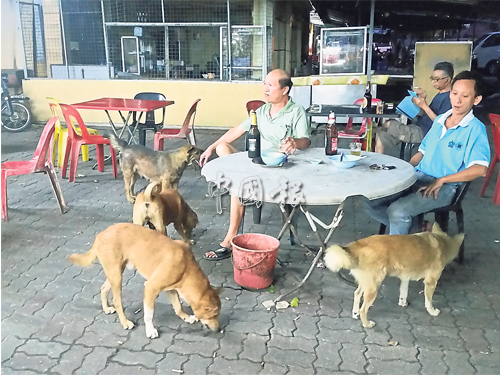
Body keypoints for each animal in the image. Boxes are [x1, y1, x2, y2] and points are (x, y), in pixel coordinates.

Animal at [69, 225, 223, 340]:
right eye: (214, 315)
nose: (218, 329)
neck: (186, 266)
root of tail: (100, 234)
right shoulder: (151, 288)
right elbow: (149, 314)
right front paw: (150, 330)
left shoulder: (170, 288)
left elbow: (178, 306)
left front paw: (186, 317)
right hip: (117, 276)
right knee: (117, 301)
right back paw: (125, 322)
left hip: (116, 272)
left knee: (103, 288)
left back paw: (106, 308)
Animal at [324, 225, 464, 330]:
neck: (442, 242)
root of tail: (357, 245)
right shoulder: (431, 282)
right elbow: (428, 300)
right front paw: (432, 311)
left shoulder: (405, 277)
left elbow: (403, 291)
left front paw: (403, 302)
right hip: (373, 287)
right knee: (364, 309)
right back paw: (367, 324)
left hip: (367, 282)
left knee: (357, 294)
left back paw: (355, 312)